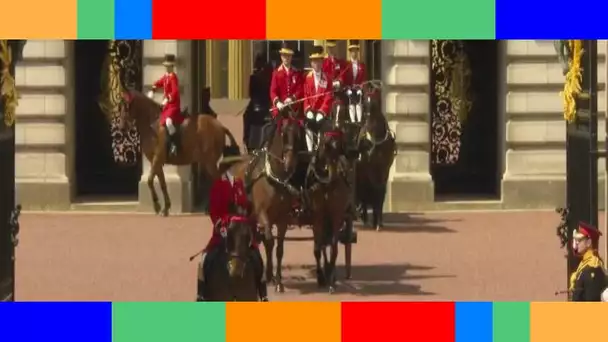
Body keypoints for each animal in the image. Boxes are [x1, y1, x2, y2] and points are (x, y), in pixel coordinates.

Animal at [356, 89, 394, 231]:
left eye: (376, 105)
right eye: (364, 105)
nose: (370, 147)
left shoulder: (384, 170)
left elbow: (380, 192)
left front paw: (379, 221)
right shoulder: (369, 170)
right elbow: (373, 191)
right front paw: (374, 220)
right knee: (363, 191)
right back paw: (365, 217)